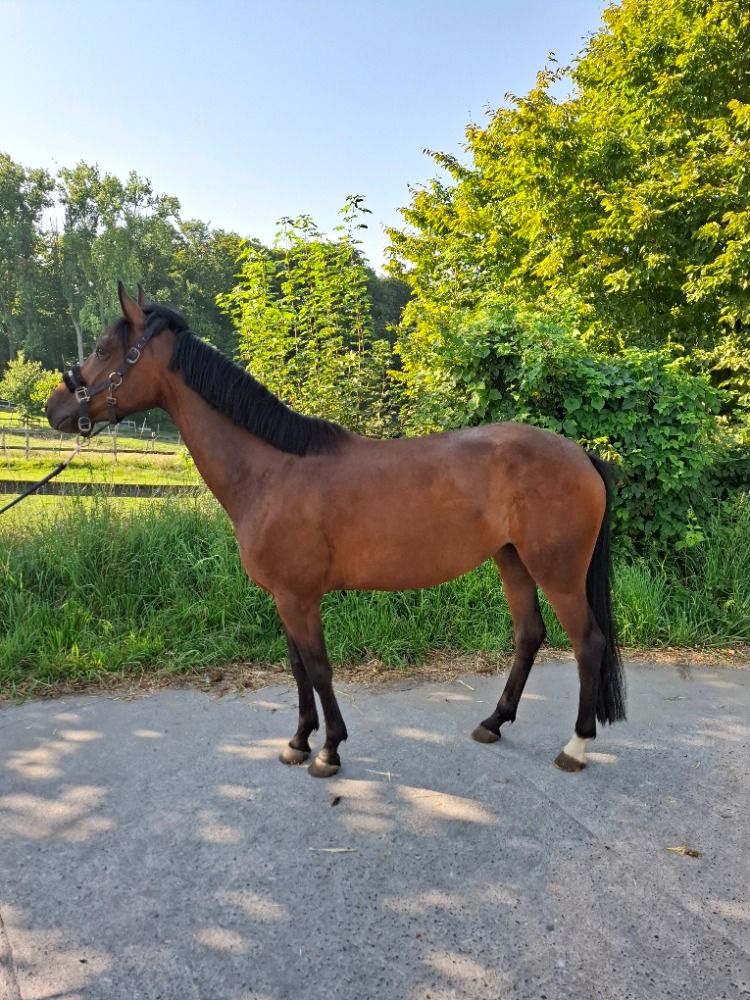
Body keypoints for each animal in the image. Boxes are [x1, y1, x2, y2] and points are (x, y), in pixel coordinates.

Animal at [46, 283, 626, 778]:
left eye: (103, 348)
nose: (55, 407)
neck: (272, 470)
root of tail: (581, 456)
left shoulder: (300, 597)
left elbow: (319, 668)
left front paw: (328, 750)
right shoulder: (284, 596)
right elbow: (298, 667)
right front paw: (298, 741)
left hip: (557, 572)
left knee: (588, 642)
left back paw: (576, 746)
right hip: (512, 561)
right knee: (529, 636)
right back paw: (493, 723)